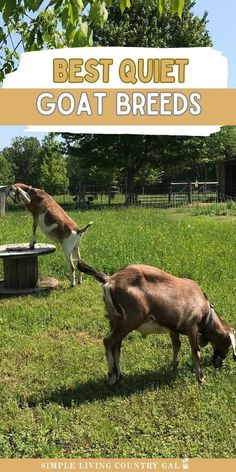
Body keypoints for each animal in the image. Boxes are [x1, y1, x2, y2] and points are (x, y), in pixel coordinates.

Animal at [77, 260, 236, 386]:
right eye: (229, 344)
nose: (220, 360)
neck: (206, 312)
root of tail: (109, 279)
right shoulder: (192, 327)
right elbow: (196, 351)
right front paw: (201, 379)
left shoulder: (174, 328)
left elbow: (176, 345)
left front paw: (173, 366)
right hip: (129, 320)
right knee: (108, 341)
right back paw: (112, 377)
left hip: (115, 321)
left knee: (116, 346)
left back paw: (119, 377)